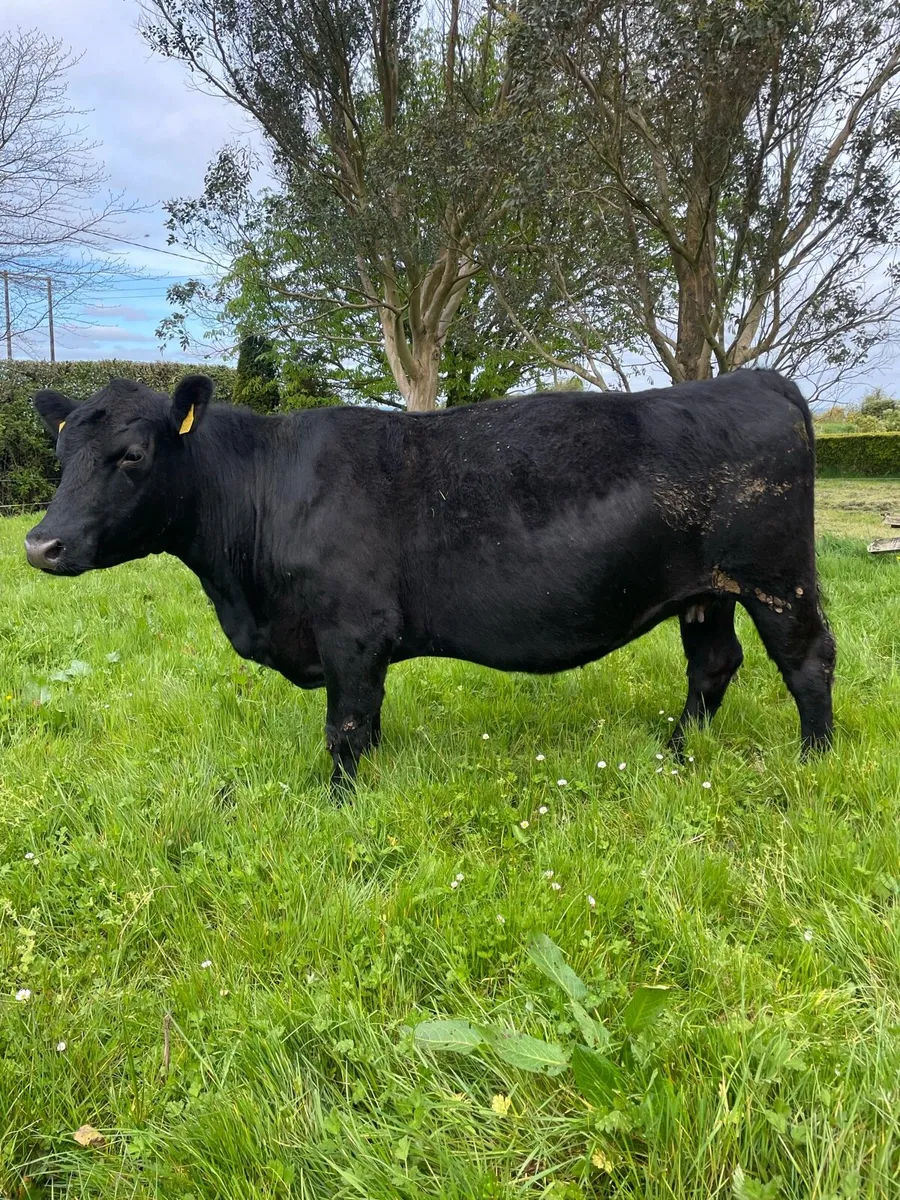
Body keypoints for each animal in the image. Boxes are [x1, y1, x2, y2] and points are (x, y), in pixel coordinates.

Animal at [24, 370, 835, 793]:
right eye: (61, 451)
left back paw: (814, 761)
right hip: (707, 592)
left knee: (808, 660)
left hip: (776, 577)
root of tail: (751, 378)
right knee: (714, 663)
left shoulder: (352, 630)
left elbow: (346, 727)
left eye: (131, 455)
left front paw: (341, 802)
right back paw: (676, 750)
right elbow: (369, 720)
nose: (40, 543)